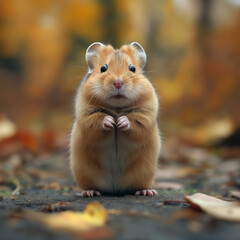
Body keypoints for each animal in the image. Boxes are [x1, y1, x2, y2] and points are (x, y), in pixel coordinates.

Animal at [70, 41, 162, 197]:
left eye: (132, 68)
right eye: (103, 68)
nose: (118, 83)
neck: (117, 108)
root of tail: (115, 189)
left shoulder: (145, 115)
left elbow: (134, 122)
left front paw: (120, 122)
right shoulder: (86, 115)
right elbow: (97, 121)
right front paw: (111, 122)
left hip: (144, 173)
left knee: (138, 186)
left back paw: (147, 191)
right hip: (84, 173)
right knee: (91, 186)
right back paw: (90, 192)